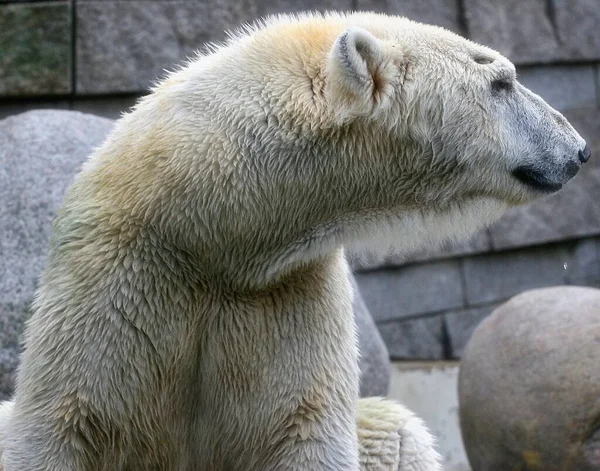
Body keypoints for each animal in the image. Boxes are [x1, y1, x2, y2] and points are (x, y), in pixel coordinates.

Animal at [0, 10, 592, 471]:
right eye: (502, 82)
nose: (580, 148)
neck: (208, 234)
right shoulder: (117, 285)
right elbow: (64, 423)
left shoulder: (288, 293)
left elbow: (303, 425)